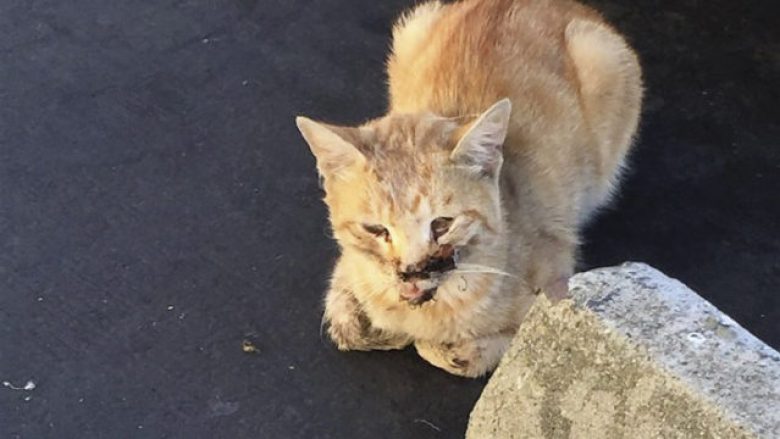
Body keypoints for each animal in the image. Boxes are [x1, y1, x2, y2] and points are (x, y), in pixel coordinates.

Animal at [296, 0, 644, 378]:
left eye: (442, 224)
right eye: (375, 229)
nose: (410, 272)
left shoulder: (557, 298)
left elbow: (461, 349)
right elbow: (349, 293)